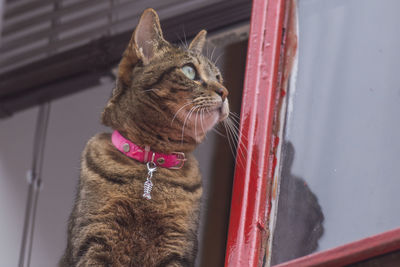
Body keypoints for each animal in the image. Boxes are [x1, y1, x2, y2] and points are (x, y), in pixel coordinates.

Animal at [59, 7, 228, 266]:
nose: (225, 92)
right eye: (189, 70)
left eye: (218, 77)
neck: (151, 161)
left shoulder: (177, 247)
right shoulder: (95, 237)